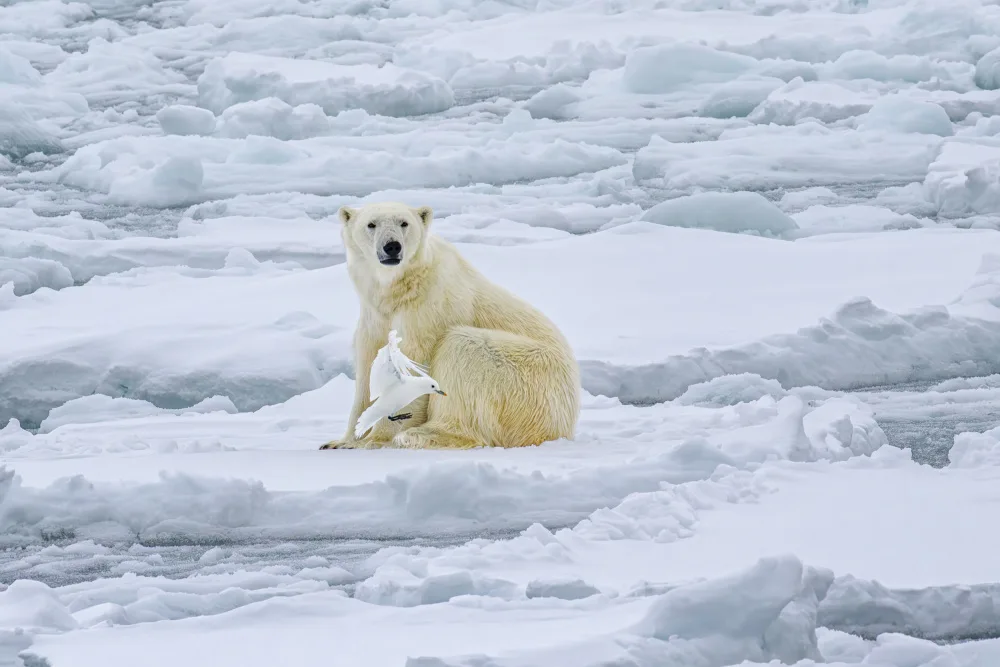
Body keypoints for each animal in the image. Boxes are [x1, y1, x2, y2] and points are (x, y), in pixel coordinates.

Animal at [320, 201, 581, 450]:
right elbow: (369, 363)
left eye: (404, 223)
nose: (392, 246)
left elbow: (412, 360)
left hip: (528, 378)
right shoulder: (374, 315)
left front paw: (375, 438)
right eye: (371, 224)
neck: (401, 289)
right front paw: (342, 441)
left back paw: (420, 434)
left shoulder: (429, 308)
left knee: (463, 348)